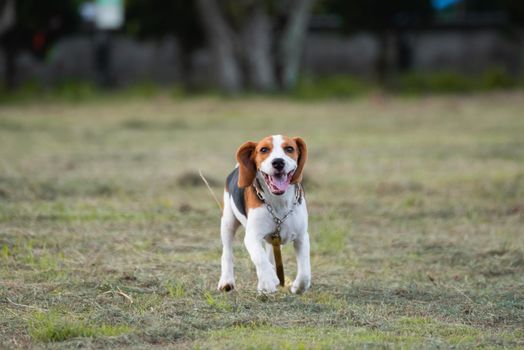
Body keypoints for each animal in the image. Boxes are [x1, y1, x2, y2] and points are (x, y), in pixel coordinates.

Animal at [218, 135, 312, 294]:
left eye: (289, 149)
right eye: (263, 150)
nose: (278, 162)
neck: (279, 201)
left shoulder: (302, 237)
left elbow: (305, 272)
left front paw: (297, 287)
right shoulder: (252, 236)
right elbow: (259, 258)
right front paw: (268, 280)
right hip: (228, 223)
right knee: (227, 253)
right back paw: (227, 281)